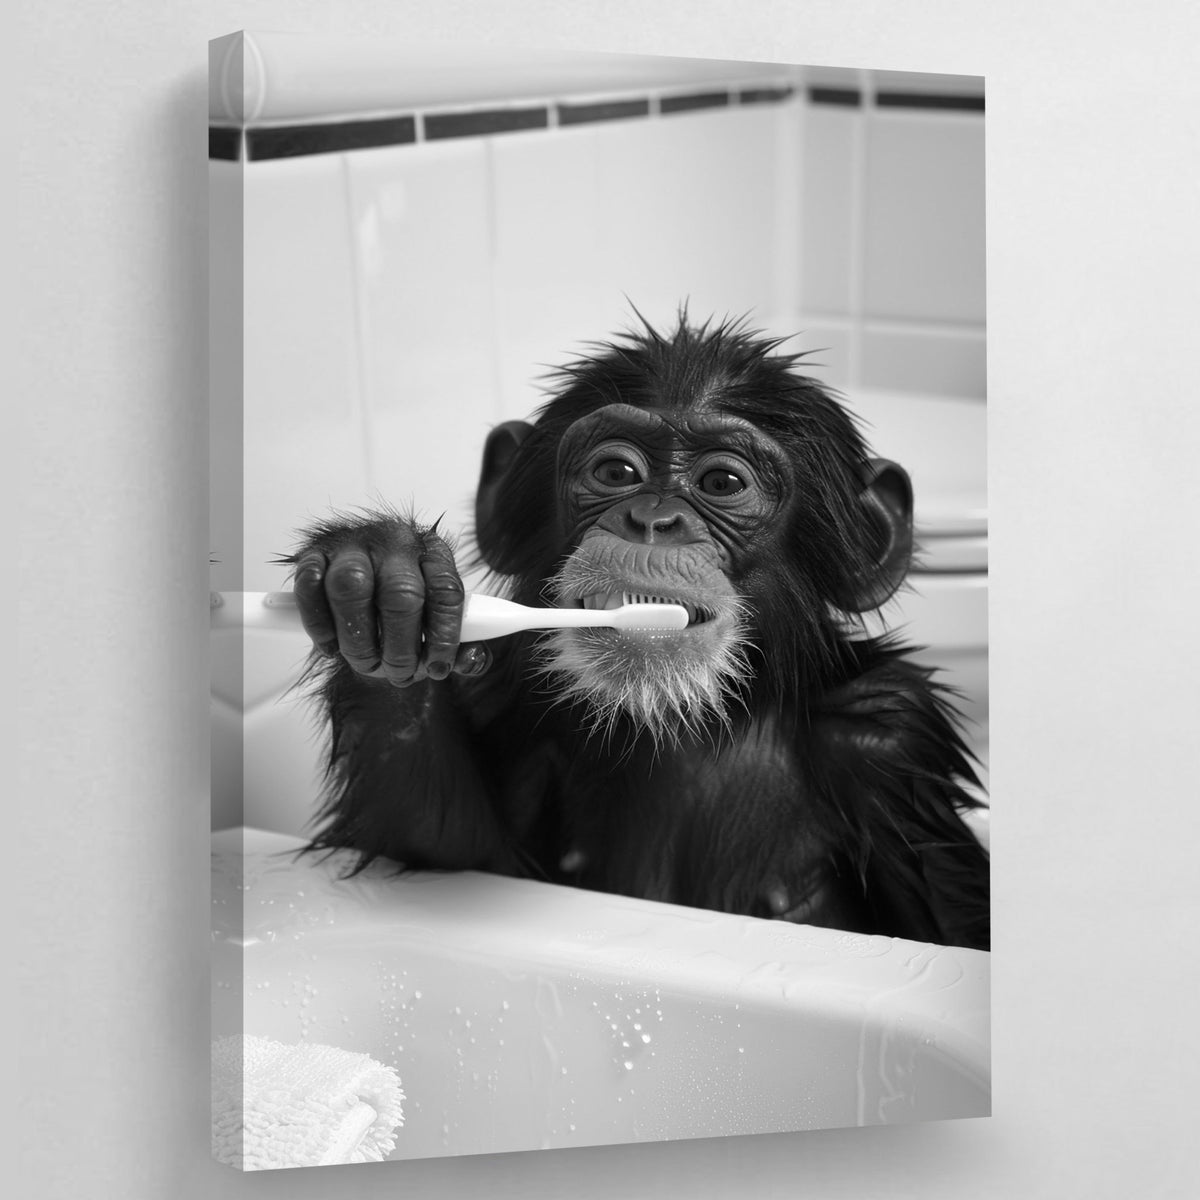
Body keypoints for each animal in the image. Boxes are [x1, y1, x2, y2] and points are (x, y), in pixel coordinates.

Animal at [286, 313, 989, 950]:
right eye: (616, 473)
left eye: (722, 483)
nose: (654, 520)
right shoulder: (509, 699)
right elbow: (452, 848)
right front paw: (385, 583)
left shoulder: (891, 741)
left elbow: (958, 930)